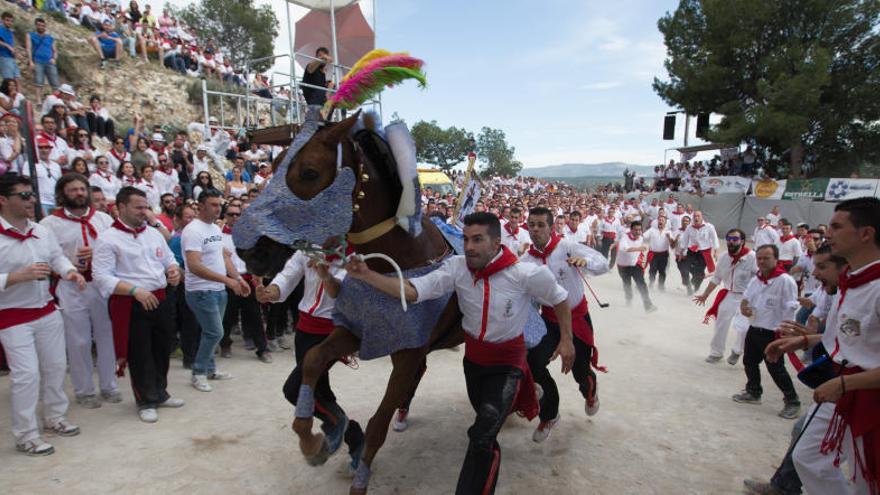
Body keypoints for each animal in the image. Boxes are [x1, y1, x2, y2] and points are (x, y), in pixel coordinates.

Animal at [237, 114, 464, 494]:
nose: (248, 250)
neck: (402, 263)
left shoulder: (408, 350)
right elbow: (313, 359)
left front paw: (360, 477)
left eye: (310, 172)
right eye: (274, 162)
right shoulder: (357, 330)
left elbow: (377, 422)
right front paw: (311, 440)